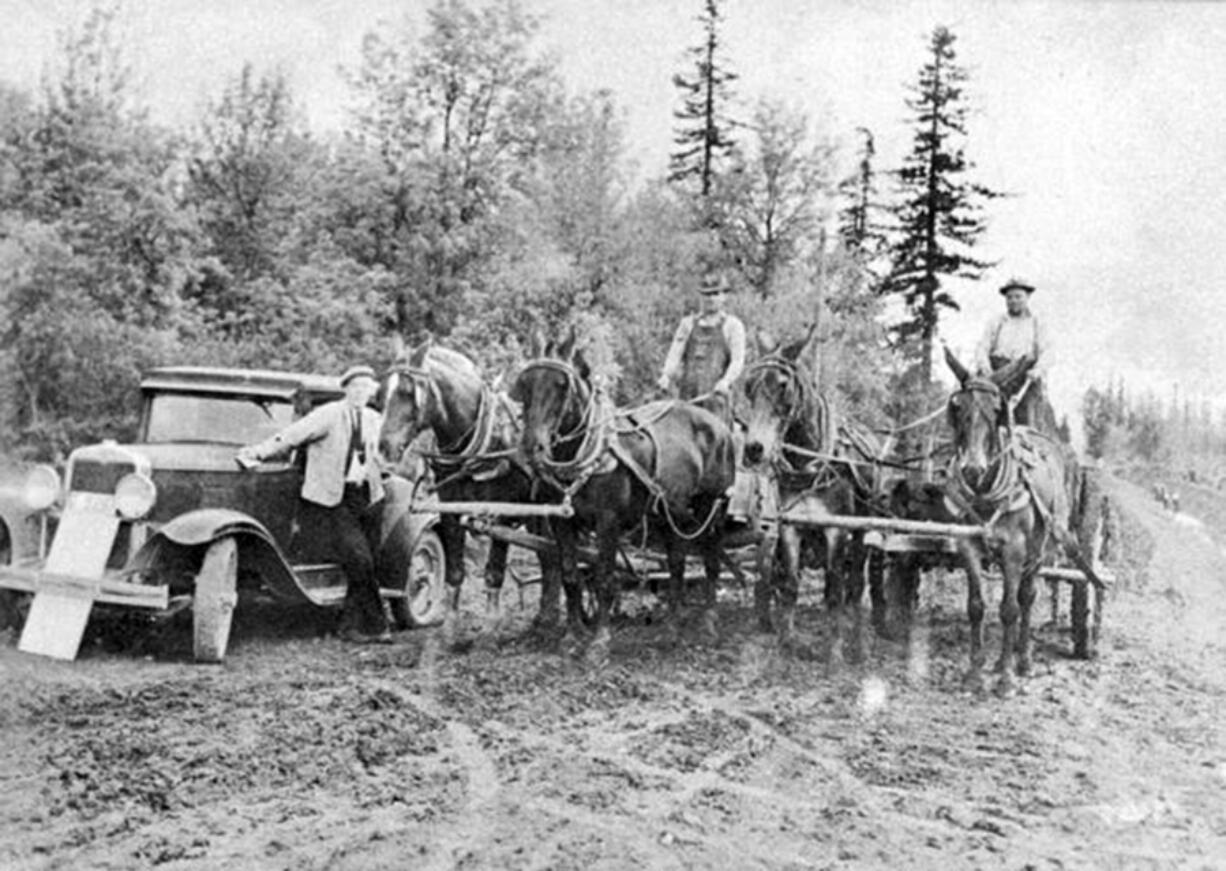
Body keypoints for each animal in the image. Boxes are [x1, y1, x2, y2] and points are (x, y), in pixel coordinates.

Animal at [380, 341, 561, 633]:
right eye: (381, 392)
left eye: (408, 392)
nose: (383, 448)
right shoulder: (451, 509)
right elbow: (455, 570)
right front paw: (451, 623)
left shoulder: (500, 514)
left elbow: (494, 571)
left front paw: (491, 622)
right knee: (549, 554)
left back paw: (551, 614)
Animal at [512, 331, 730, 667]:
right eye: (525, 384)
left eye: (562, 385)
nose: (531, 448)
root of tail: (719, 425)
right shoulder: (563, 523)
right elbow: (570, 576)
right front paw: (572, 636)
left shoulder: (608, 522)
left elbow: (604, 578)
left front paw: (599, 642)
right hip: (671, 512)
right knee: (677, 564)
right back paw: (671, 627)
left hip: (711, 507)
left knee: (711, 558)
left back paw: (708, 620)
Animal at [735, 331, 892, 657]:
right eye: (749, 386)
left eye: (783, 385)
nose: (754, 449)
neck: (810, 464)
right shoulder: (791, 527)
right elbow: (791, 584)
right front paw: (786, 642)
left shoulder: (836, 530)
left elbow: (834, 589)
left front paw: (834, 652)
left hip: (863, 530)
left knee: (856, 583)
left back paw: (858, 643)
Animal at [941, 348, 1108, 696]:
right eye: (958, 407)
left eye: (996, 411)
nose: (972, 469)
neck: (985, 492)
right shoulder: (967, 545)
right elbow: (976, 607)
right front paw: (974, 673)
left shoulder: (1015, 549)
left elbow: (1010, 609)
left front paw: (1005, 678)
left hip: (1041, 547)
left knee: (1027, 597)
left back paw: (1024, 660)